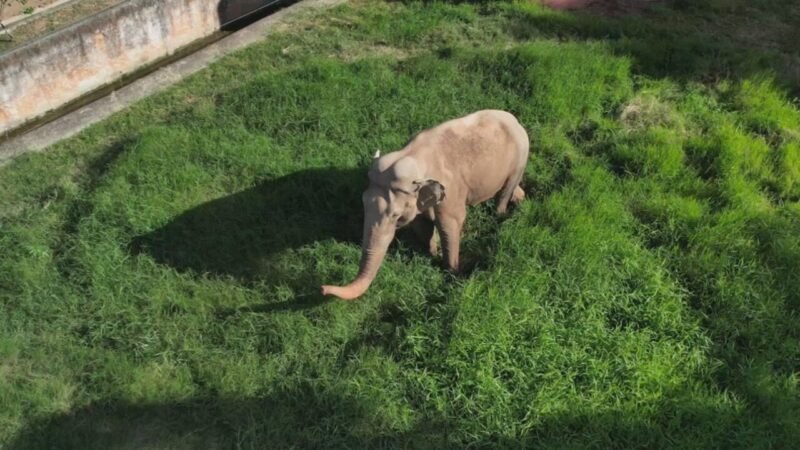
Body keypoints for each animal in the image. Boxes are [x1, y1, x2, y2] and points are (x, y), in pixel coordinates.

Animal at [321, 109, 530, 300]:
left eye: (395, 215)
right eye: (363, 204)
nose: (322, 288)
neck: (413, 156)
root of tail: (513, 118)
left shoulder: (451, 192)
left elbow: (450, 224)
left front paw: (451, 273)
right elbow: (422, 225)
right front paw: (431, 254)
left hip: (521, 157)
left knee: (505, 192)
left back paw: (501, 216)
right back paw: (521, 200)